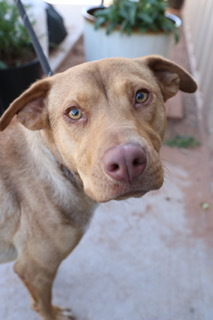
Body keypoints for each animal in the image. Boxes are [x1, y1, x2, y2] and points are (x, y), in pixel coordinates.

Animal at [0, 56, 196, 318]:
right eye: (74, 113)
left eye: (141, 96)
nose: (126, 161)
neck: (59, 167)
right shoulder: (33, 268)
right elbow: (43, 306)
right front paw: (54, 313)